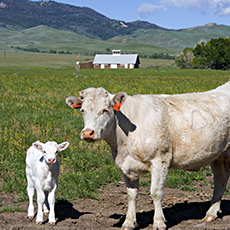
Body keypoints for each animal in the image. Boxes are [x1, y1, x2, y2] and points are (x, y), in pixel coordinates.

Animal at [65, 82, 230, 230]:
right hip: (218, 154)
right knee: (220, 179)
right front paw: (128, 223)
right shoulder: (126, 165)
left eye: (105, 110)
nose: (87, 133)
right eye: (83, 111)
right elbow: (131, 195)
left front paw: (159, 222)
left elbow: (156, 193)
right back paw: (211, 213)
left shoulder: (160, 160)